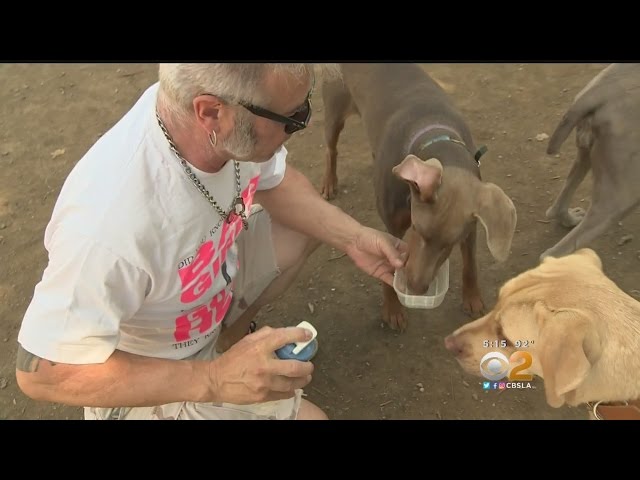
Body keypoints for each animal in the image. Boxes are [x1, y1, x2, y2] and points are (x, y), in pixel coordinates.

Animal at [320, 63, 517, 331]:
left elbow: (470, 264)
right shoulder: (393, 226)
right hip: (334, 110)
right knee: (331, 149)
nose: (416, 287)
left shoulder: (471, 228)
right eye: (418, 230)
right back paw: (329, 182)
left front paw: (472, 298)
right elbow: (389, 265)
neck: (437, 136)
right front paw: (393, 309)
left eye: (449, 244)